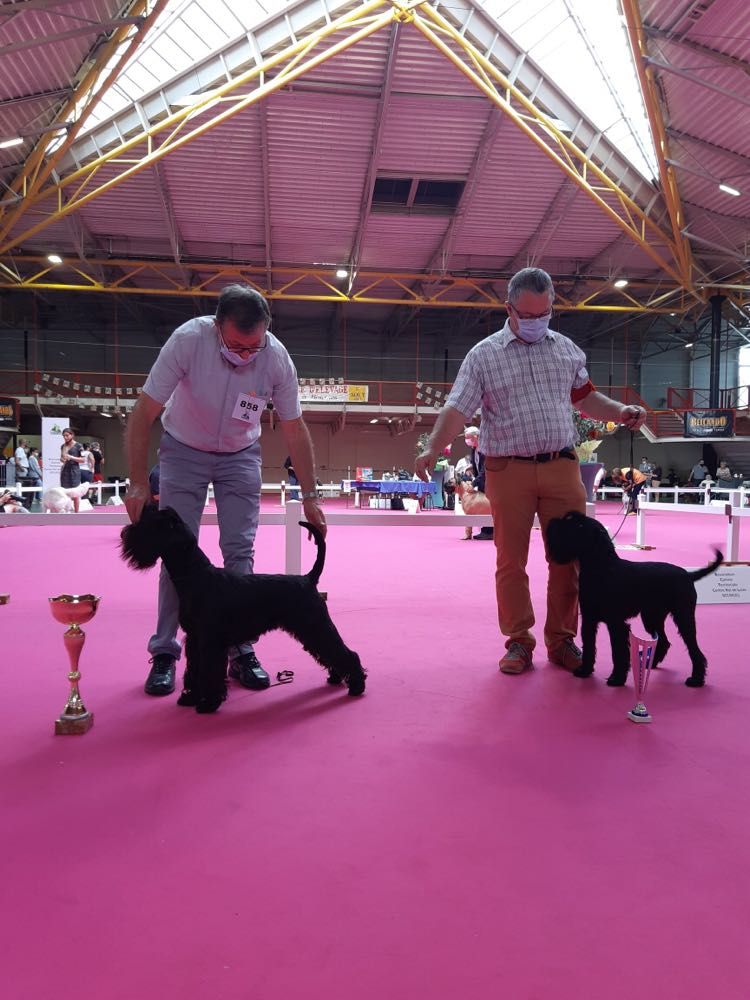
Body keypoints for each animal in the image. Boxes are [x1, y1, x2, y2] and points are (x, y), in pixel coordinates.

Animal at [122, 508, 368, 712]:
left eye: (152, 525)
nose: (126, 533)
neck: (196, 576)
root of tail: (308, 579)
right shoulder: (194, 639)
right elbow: (194, 669)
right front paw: (190, 698)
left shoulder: (210, 641)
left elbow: (209, 671)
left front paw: (208, 703)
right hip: (312, 630)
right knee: (331, 652)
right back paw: (337, 678)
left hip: (315, 625)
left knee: (345, 652)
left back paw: (356, 685)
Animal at [548, 508, 724, 688]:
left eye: (579, 525)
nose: (552, 523)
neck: (602, 568)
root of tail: (688, 575)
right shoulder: (589, 619)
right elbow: (589, 645)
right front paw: (585, 671)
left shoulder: (616, 623)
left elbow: (618, 651)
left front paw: (616, 678)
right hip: (652, 618)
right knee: (664, 641)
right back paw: (648, 664)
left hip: (683, 618)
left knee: (694, 648)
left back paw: (696, 679)